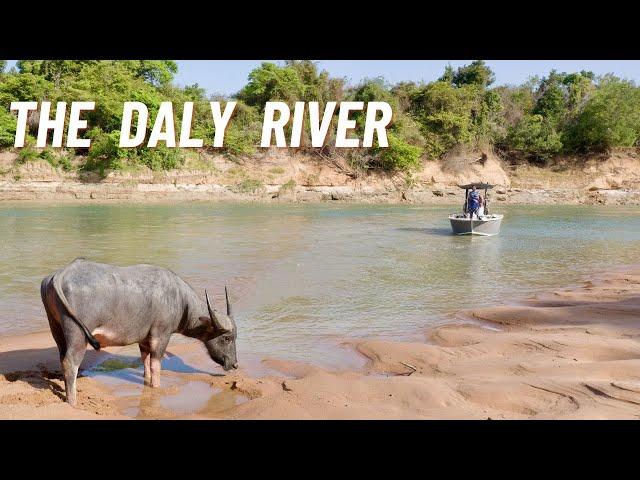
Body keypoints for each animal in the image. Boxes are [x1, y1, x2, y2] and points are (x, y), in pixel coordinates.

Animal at [40, 258, 236, 404]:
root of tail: (61, 274)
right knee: (70, 362)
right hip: (78, 336)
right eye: (227, 338)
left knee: (62, 357)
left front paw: (146, 381)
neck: (180, 301)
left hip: (56, 329)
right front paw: (156, 387)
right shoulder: (161, 335)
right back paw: (72, 401)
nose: (234, 364)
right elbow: (156, 364)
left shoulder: (144, 338)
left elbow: (145, 360)